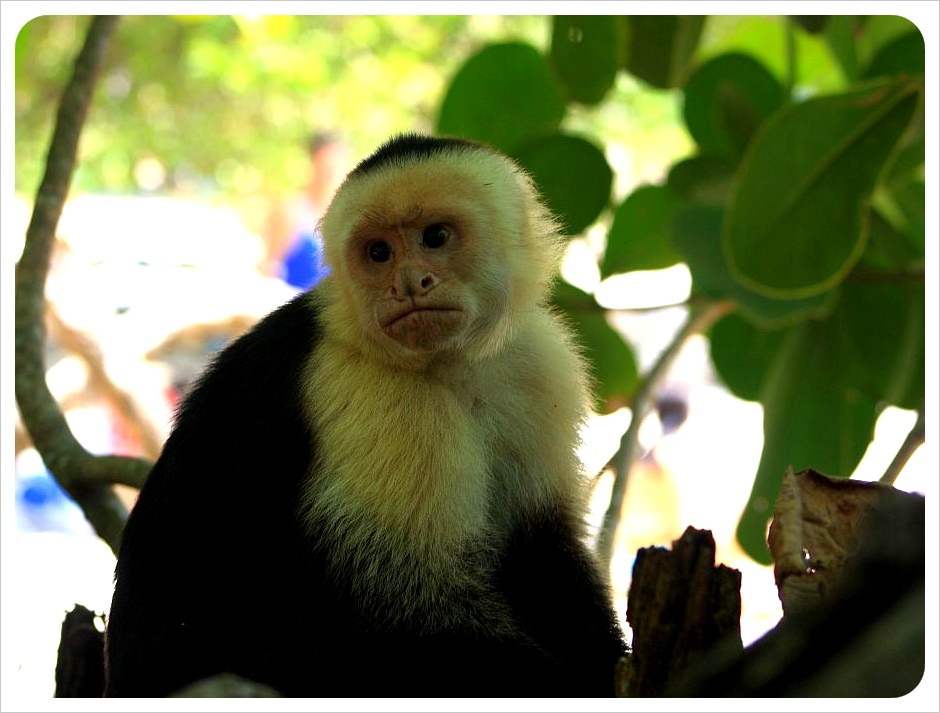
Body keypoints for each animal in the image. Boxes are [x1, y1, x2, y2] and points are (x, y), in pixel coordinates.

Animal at [106, 132, 628, 696]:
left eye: (435, 237)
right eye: (379, 253)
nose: (410, 283)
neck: (451, 365)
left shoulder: (540, 364)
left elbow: (542, 544)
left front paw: (609, 656)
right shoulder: (376, 396)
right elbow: (400, 607)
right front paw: (574, 682)